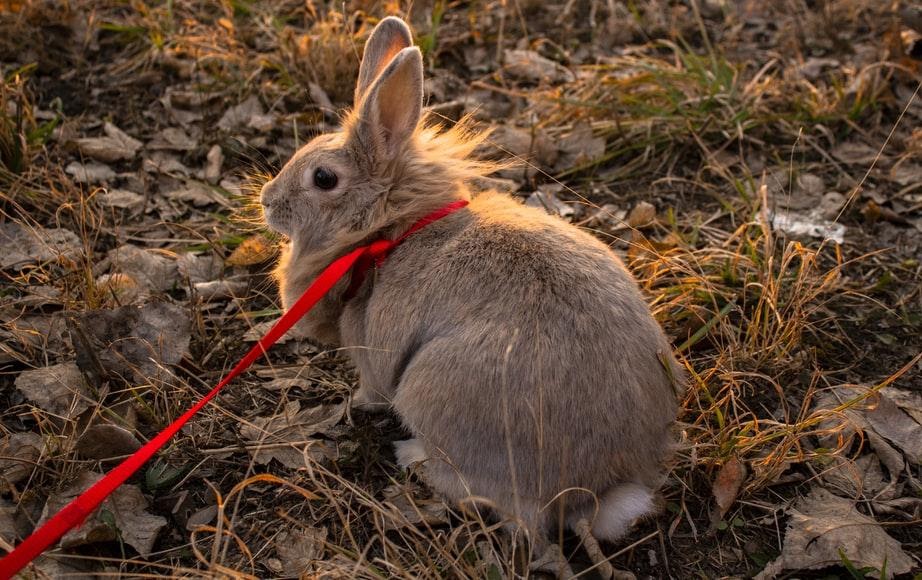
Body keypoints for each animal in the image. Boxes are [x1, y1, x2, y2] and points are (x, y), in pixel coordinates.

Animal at [260, 15, 684, 552]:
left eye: (323, 178)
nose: (266, 200)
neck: (389, 231)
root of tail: (587, 493)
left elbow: (371, 387)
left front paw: (359, 405)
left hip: (428, 389)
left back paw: (410, 455)